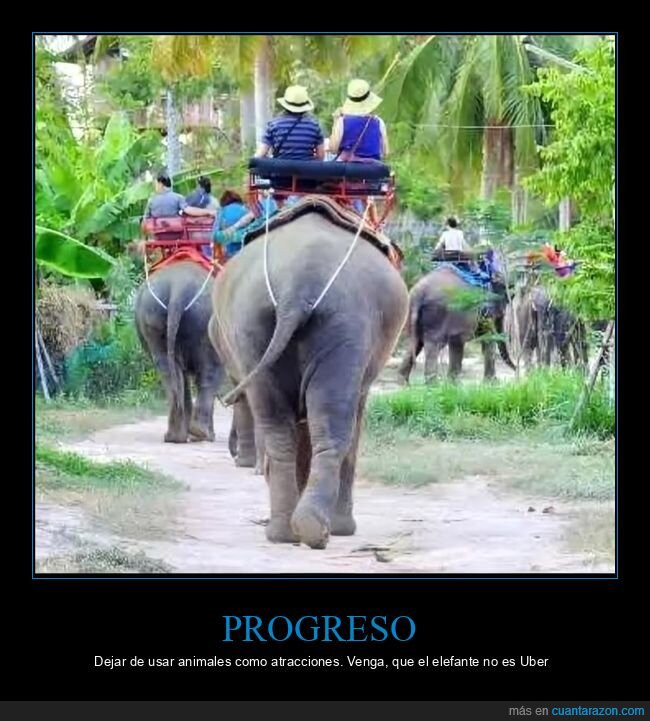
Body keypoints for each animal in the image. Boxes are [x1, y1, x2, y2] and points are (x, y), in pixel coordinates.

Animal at [135, 261, 225, 443]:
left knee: (169, 373)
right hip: (207, 322)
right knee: (210, 374)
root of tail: (178, 287)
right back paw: (201, 434)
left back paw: (175, 437)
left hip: (152, 318)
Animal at [208, 211, 408, 549]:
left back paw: (285, 532)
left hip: (253, 325)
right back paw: (321, 530)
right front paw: (341, 529)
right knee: (334, 422)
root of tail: (296, 287)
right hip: (345, 324)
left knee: (277, 425)